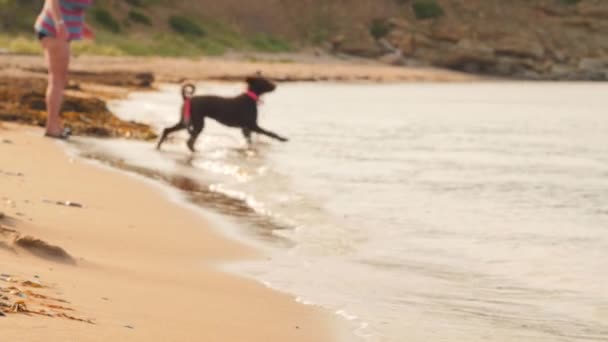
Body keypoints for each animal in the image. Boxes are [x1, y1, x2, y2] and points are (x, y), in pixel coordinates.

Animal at [157, 77, 290, 152]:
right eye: (264, 81)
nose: (275, 86)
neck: (250, 98)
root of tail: (187, 98)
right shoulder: (252, 125)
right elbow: (270, 133)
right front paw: (283, 139)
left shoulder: (245, 128)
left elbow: (249, 140)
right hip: (198, 123)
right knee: (189, 142)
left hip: (186, 122)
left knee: (167, 130)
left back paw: (158, 147)